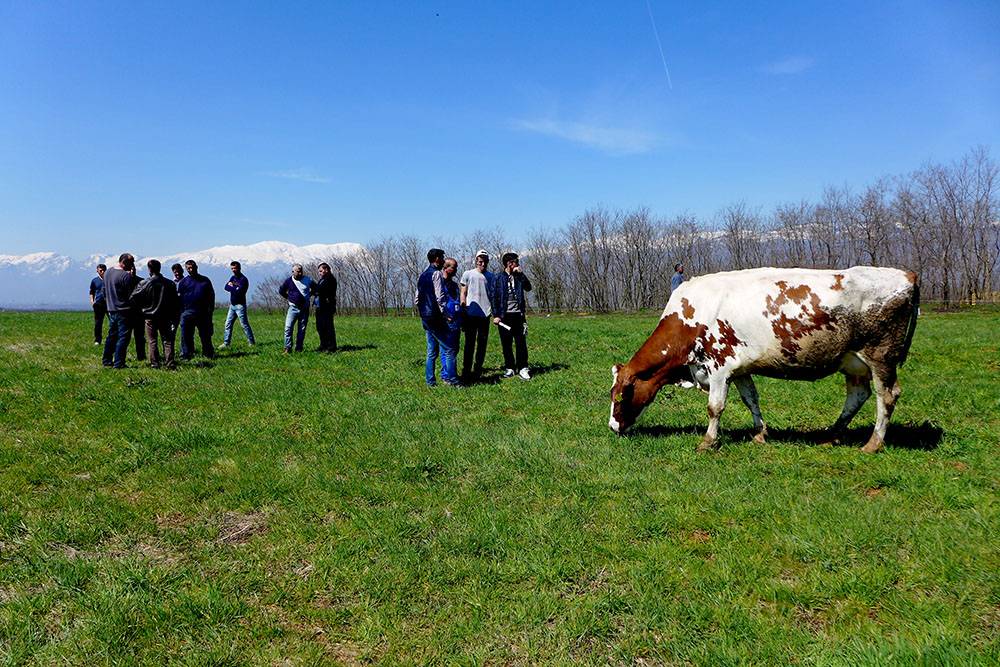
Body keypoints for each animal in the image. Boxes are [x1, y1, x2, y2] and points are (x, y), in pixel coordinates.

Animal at [604, 266, 916, 454]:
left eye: (620, 396)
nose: (612, 427)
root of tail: (907, 274)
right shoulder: (739, 369)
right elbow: (751, 399)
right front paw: (760, 433)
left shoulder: (718, 368)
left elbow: (715, 408)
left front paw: (708, 441)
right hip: (852, 362)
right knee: (857, 395)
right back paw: (831, 435)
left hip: (880, 356)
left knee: (887, 396)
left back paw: (873, 443)